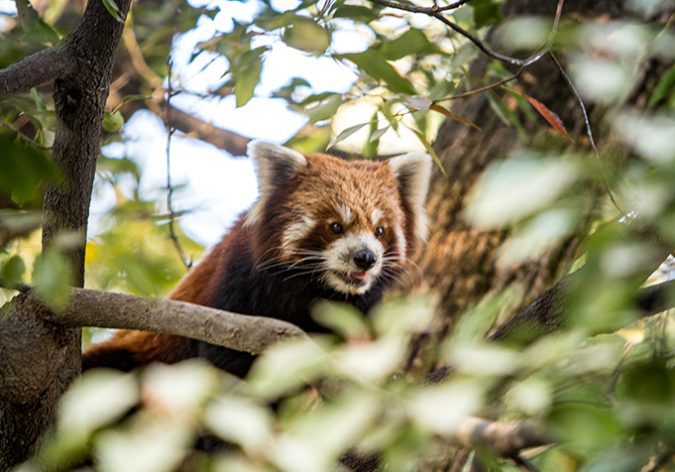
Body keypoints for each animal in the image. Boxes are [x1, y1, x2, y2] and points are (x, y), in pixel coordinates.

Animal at [83, 142, 434, 378]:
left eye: (379, 230)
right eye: (336, 226)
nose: (366, 258)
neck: (312, 290)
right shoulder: (237, 286)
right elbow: (223, 356)